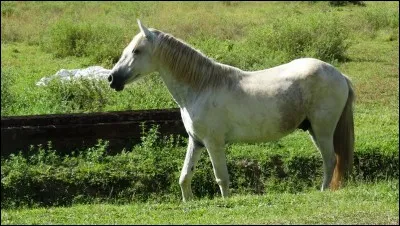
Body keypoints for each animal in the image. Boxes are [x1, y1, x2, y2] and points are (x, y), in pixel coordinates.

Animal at [108, 20, 354, 202]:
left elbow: (221, 178)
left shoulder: (213, 143)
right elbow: (185, 177)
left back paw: (322, 191)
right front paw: (188, 203)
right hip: (313, 130)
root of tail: (340, 75)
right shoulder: (196, 141)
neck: (201, 87)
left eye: (137, 51)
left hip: (322, 130)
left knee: (330, 161)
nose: (112, 79)